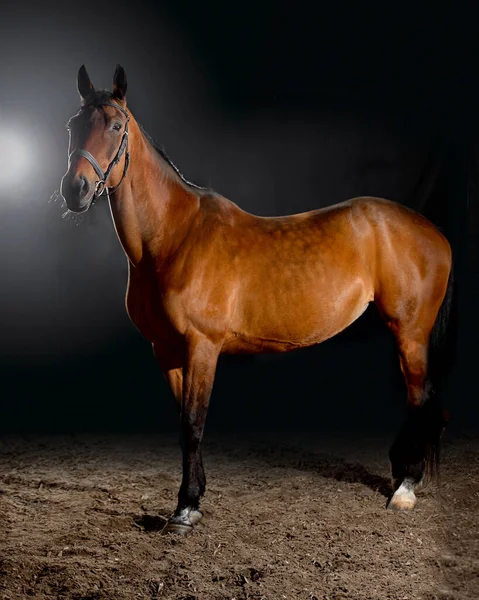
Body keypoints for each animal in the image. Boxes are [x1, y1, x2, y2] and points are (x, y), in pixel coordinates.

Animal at [61, 64, 458, 536]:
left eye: (116, 126)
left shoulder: (202, 347)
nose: (75, 189)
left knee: (420, 399)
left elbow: (193, 424)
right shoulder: (167, 351)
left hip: (410, 332)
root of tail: (433, 232)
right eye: (73, 125)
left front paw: (185, 509)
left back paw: (406, 489)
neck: (174, 237)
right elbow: (183, 423)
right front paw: (195, 496)